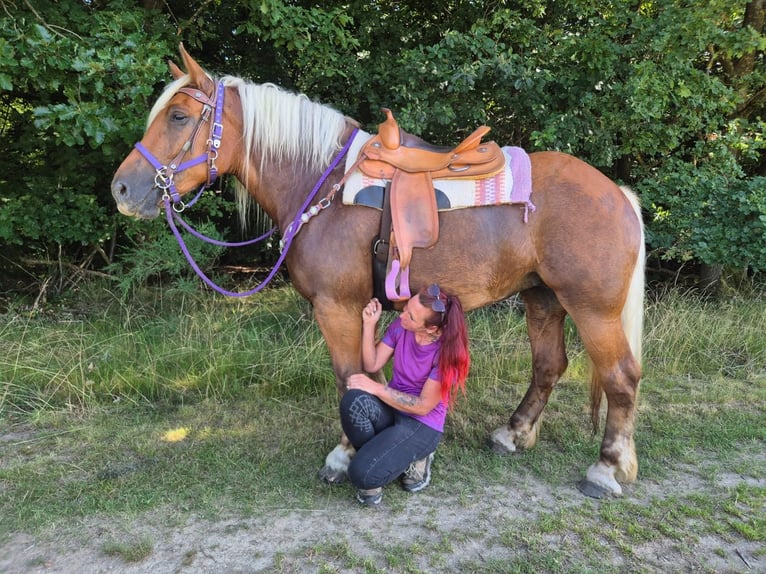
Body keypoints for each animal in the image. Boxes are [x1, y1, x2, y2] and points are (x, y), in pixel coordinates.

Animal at [111, 44, 645, 499]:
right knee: (549, 365)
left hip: (592, 309)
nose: (121, 189)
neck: (320, 182)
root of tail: (617, 194)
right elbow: (364, 375)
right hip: (543, 298)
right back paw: (513, 435)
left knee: (621, 377)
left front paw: (344, 457)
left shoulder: (337, 308)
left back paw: (606, 468)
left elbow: (348, 377)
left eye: (179, 116)